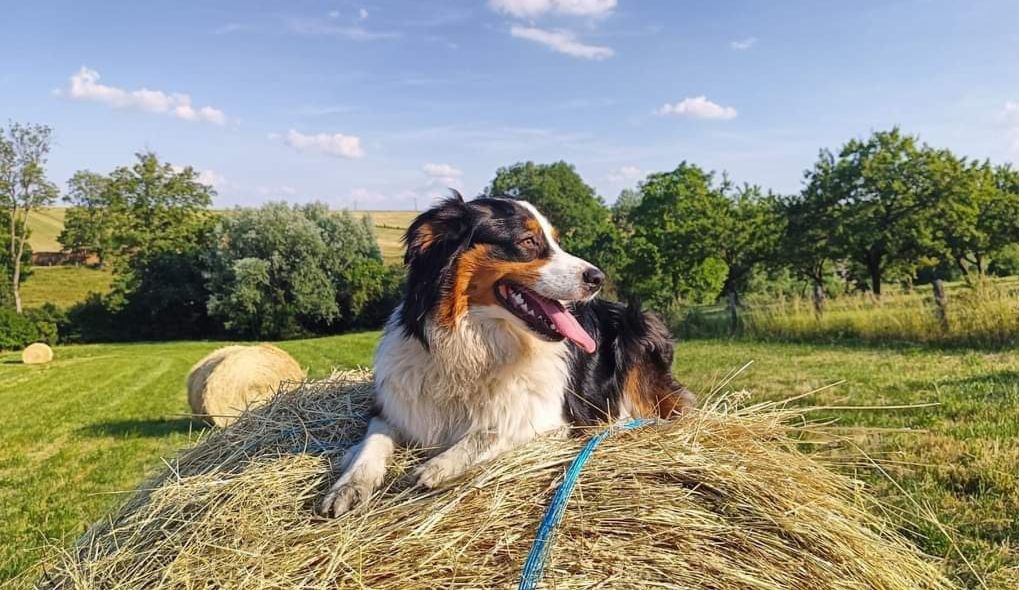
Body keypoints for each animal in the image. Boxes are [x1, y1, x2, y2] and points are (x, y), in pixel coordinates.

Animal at [317, 192, 692, 517]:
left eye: (556, 240)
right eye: (528, 242)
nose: (598, 277)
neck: (476, 345)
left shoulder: (553, 421)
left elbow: (492, 432)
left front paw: (436, 467)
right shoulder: (392, 408)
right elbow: (372, 444)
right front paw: (348, 487)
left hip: (640, 337)